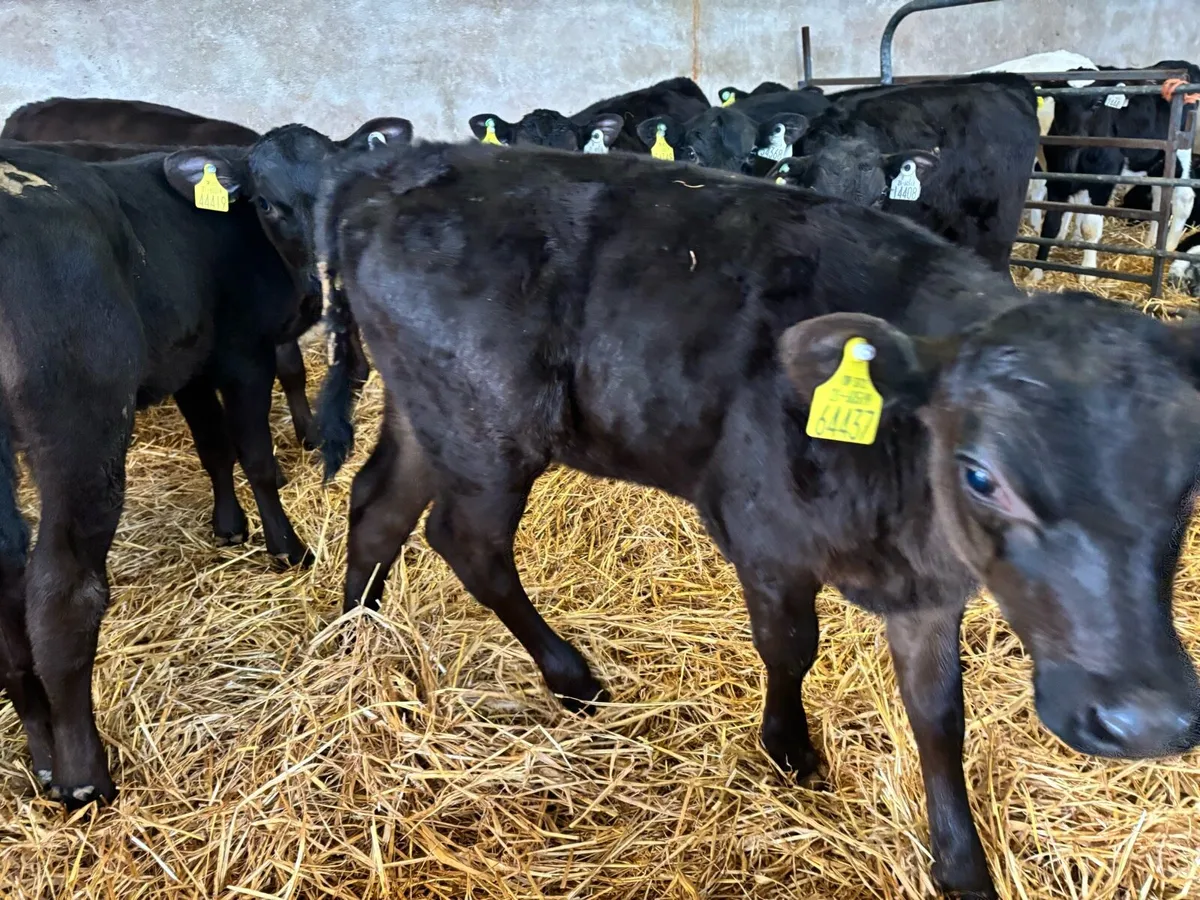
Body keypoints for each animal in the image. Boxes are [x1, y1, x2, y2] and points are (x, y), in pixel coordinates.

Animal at [197, 137, 1200, 897]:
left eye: (1185, 482)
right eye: (980, 473)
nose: (1146, 721)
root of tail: (393, 167)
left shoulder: (926, 592)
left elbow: (938, 715)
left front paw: (960, 863)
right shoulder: (760, 536)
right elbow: (791, 649)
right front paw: (791, 752)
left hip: (426, 412)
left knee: (379, 507)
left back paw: (355, 645)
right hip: (486, 431)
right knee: (465, 540)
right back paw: (571, 676)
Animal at [1034, 61, 1200, 282]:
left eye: (1097, 103)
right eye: (1060, 101)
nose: (1072, 134)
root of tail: (1181, 65)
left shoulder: (1103, 182)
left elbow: (1089, 227)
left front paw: (1087, 272)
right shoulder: (1056, 179)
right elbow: (1050, 226)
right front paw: (1036, 270)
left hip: (1181, 151)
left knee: (1183, 198)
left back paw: (1170, 246)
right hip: (1158, 161)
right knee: (1159, 197)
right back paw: (1151, 242)